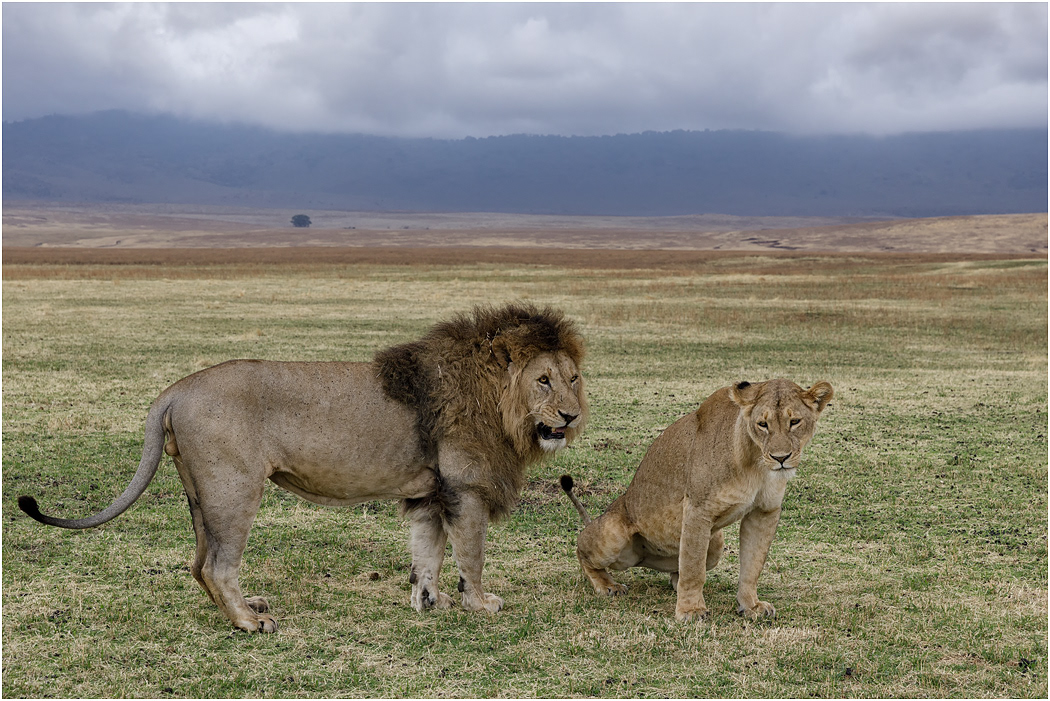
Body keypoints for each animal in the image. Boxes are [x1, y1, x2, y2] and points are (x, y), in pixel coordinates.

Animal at [19, 302, 587, 633]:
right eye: (543, 380)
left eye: (574, 378)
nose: (570, 416)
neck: (499, 403)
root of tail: (175, 389)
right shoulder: (464, 488)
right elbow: (470, 554)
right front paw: (481, 604)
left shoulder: (429, 493)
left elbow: (428, 556)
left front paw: (429, 604)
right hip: (234, 487)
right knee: (218, 564)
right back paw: (249, 623)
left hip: (200, 492)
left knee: (199, 563)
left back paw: (245, 609)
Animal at [561, 378, 832, 622]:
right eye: (762, 424)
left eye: (794, 422)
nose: (781, 458)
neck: (755, 463)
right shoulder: (698, 510)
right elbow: (693, 568)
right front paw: (691, 611)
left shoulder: (764, 511)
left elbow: (752, 565)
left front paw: (751, 606)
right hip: (613, 533)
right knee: (582, 550)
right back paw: (608, 585)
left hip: (716, 543)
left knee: (679, 569)